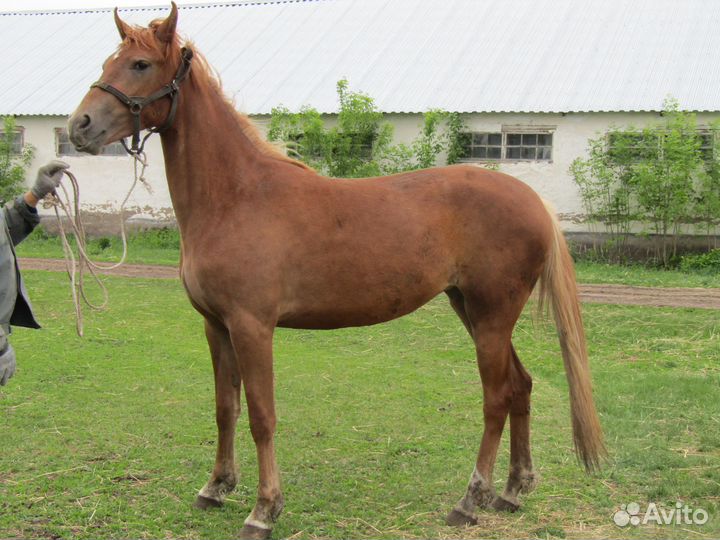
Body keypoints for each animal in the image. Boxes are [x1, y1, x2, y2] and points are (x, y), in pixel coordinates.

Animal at [68, 4, 604, 538]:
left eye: (140, 64)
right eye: (109, 60)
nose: (79, 126)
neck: (236, 197)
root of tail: (533, 199)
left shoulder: (252, 326)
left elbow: (261, 415)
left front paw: (264, 509)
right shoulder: (215, 326)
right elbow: (225, 408)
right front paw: (216, 487)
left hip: (491, 316)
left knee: (496, 399)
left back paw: (470, 500)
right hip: (472, 310)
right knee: (520, 386)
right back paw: (512, 491)